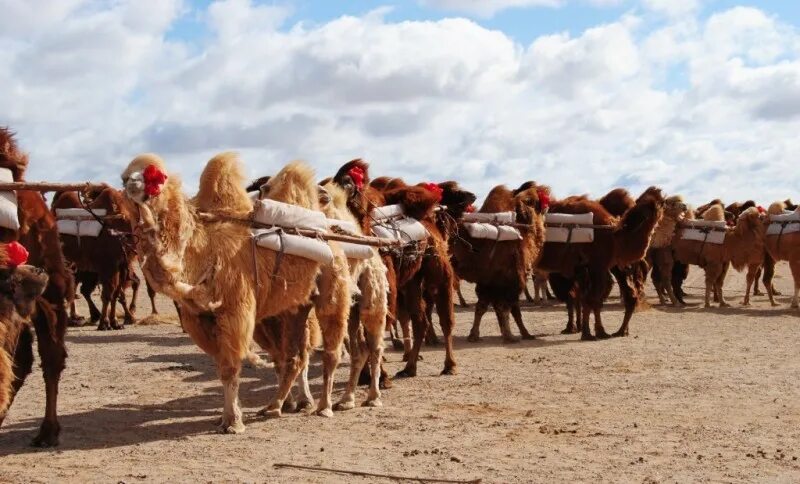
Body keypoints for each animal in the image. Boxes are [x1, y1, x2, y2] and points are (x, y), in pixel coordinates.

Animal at [122, 153, 328, 432]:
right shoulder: (199, 319)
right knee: (285, 356)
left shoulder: (235, 310)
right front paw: (227, 416)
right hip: (276, 313)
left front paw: (233, 421)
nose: (129, 183)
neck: (200, 251)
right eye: (125, 175)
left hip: (300, 306)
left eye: (153, 175)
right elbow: (221, 367)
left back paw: (285, 404)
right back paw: (288, 403)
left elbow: (230, 368)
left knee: (298, 356)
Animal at [450, 182, 552, 344]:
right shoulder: (509, 280)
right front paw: (514, 336)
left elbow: (485, 308)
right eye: (535, 201)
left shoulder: (489, 283)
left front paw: (474, 335)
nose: (547, 205)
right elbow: (507, 309)